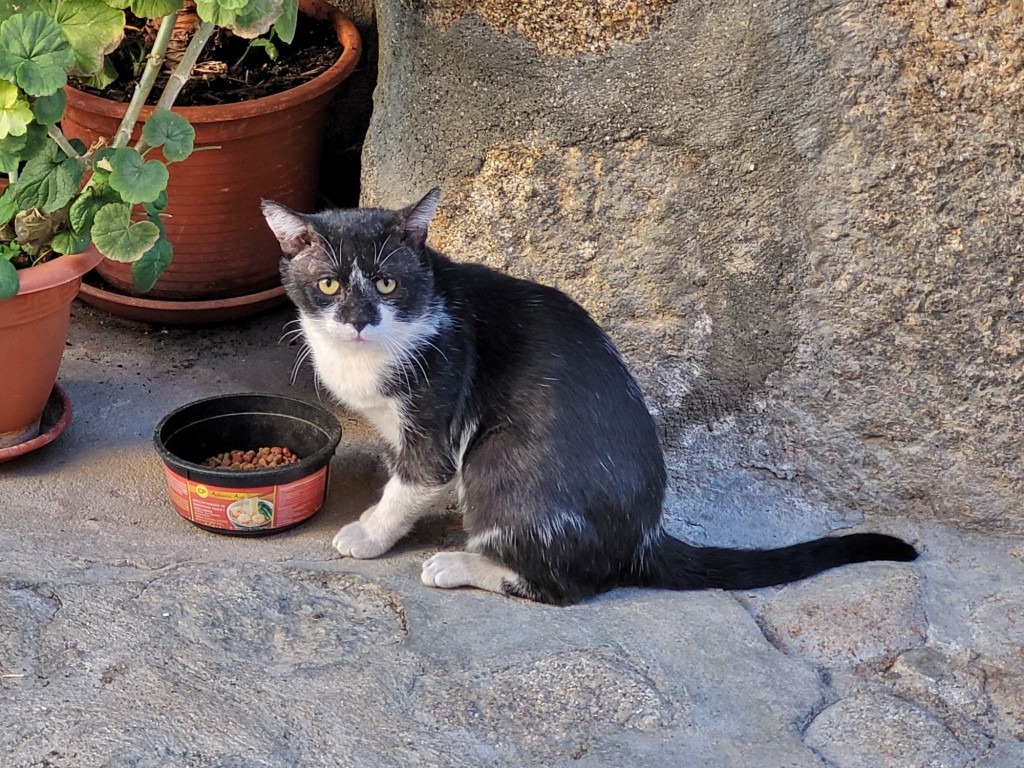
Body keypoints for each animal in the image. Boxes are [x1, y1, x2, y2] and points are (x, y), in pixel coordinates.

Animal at [260, 188, 917, 606]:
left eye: (388, 283)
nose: (358, 320)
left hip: (503, 460)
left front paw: (369, 532)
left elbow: (418, 479)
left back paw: (460, 563)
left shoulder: (438, 405)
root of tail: (643, 538)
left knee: (566, 586)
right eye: (328, 284)